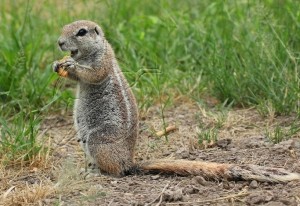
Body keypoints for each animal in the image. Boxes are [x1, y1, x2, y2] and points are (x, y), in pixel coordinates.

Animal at [54, 20, 300, 183]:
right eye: (64, 28)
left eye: (81, 32)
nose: (59, 43)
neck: (89, 53)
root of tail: (129, 162)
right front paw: (57, 64)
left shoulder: (102, 61)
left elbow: (93, 74)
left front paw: (70, 65)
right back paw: (86, 170)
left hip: (97, 140)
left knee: (115, 171)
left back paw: (98, 173)